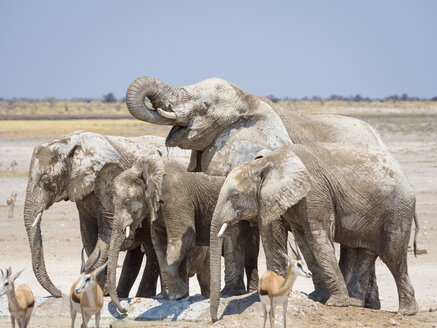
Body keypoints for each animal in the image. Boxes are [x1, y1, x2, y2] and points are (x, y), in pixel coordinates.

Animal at [23, 130, 188, 298]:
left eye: (46, 179)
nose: (60, 293)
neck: (70, 142)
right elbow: (88, 235)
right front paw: (101, 291)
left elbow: (106, 235)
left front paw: (103, 291)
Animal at [98, 154, 225, 312]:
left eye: (127, 201)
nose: (125, 309)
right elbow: (159, 243)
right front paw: (171, 295)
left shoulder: (177, 197)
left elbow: (182, 238)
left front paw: (178, 294)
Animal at [211, 144, 418, 320]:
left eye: (235, 195)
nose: (215, 319)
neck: (267, 162)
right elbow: (304, 241)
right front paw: (318, 297)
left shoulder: (315, 193)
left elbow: (317, 238)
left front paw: (336, 304)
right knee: (367, 252)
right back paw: (355, 303)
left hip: (397, 211)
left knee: (393, 256)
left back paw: (406, 312)